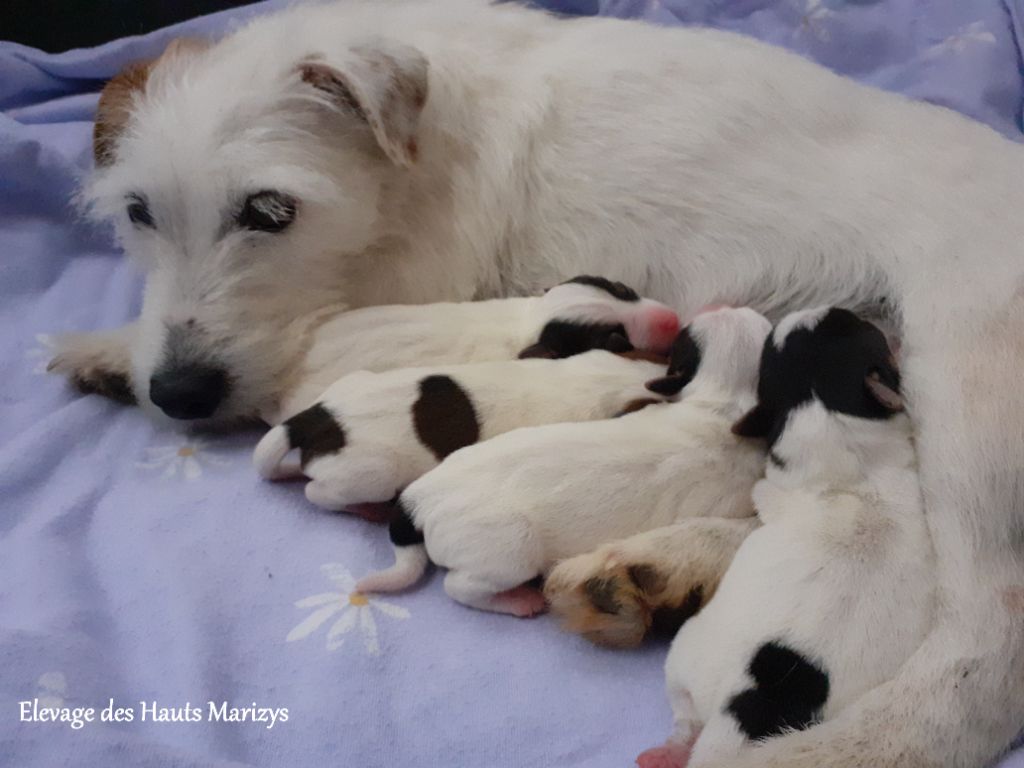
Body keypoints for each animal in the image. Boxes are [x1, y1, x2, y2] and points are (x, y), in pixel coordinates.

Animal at [358, 307, 770, 614]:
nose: (722, 305)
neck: (724, 401)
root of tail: (416, 500)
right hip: (507, 551)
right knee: (460, 586)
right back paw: (518, 601)